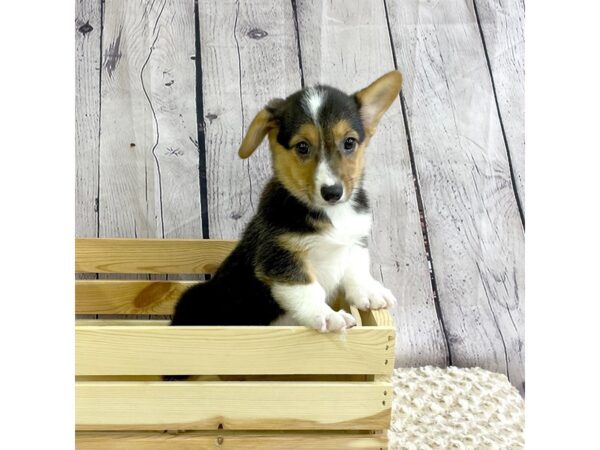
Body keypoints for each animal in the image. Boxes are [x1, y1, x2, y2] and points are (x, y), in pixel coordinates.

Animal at [170, 69, 404, 330]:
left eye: (349, 142)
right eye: (302, 147)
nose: (332, 192)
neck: (331, 214)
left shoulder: (354, 240)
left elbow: (356, 266)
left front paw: (370, 292)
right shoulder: (281, 258)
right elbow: (308, 290)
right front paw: (328, 316)